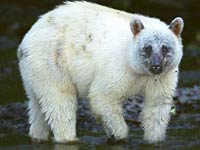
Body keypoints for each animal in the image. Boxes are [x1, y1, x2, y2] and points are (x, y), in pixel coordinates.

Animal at [18, 1, 184, 144]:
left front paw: (154, 139)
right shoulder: (118, 67)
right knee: (60, 102)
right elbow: (103, 97)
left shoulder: (163, 76)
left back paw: (37, 136)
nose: (156, 66)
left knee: (38, 106)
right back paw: (68, 138)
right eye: (148, 48)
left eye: (165, 48)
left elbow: (157, 105)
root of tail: (26, 40)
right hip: (51, 61)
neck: (139, 68)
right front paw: (119, 136)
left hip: (33, 72)